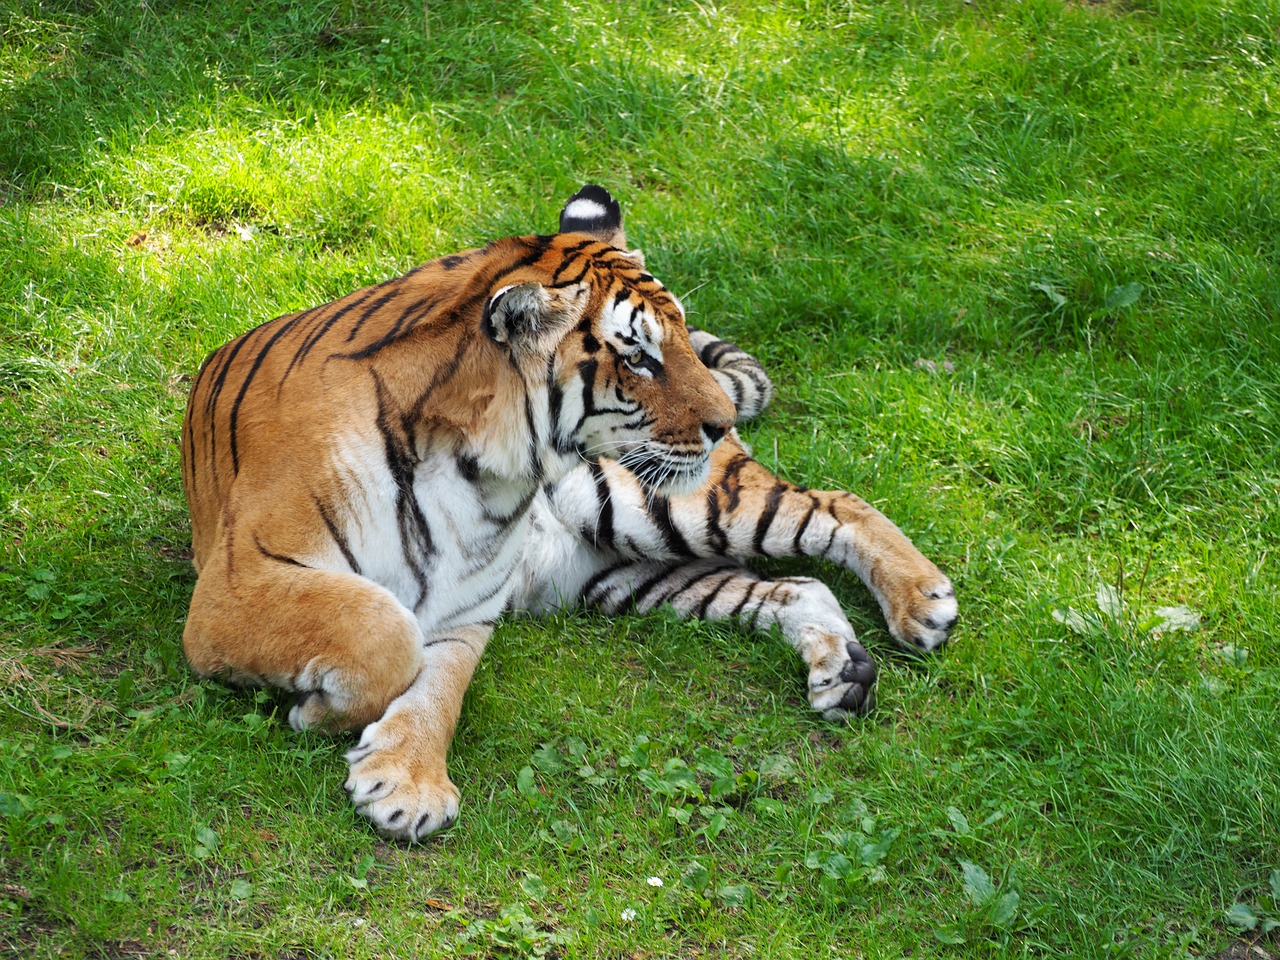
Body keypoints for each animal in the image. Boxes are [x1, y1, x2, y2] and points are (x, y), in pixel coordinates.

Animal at [185, 185, 957, 839]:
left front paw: (400, 777)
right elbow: (384, 629)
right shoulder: (235, 586)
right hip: (626, 572)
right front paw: (344, 732)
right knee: (801, 582)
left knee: (835, 504)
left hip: (659, 507)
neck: (475, 471)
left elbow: (434, 686)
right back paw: (844, 671)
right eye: (639, 356)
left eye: (682, 337)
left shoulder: (466, 608)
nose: (722, 420)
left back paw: (922, 604)